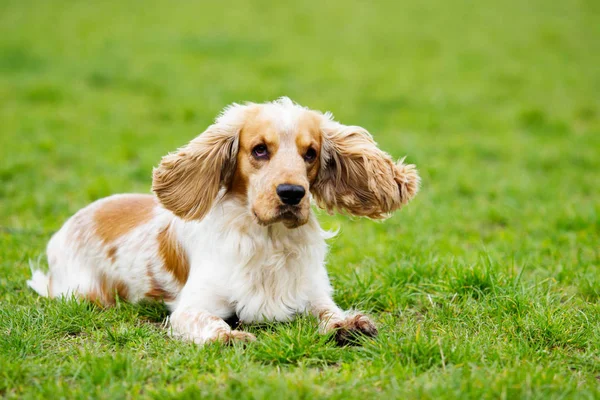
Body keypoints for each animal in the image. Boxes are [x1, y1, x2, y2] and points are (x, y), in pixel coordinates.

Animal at [28, 98, 420, 346]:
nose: (292, 193)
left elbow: (329, 311)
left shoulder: (312, 293)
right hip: (85, 293)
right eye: (259, 149)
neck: (269, 240)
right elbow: (211, 322)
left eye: (310, 153)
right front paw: (230, 337)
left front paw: (349, 325)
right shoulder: (191, 309)